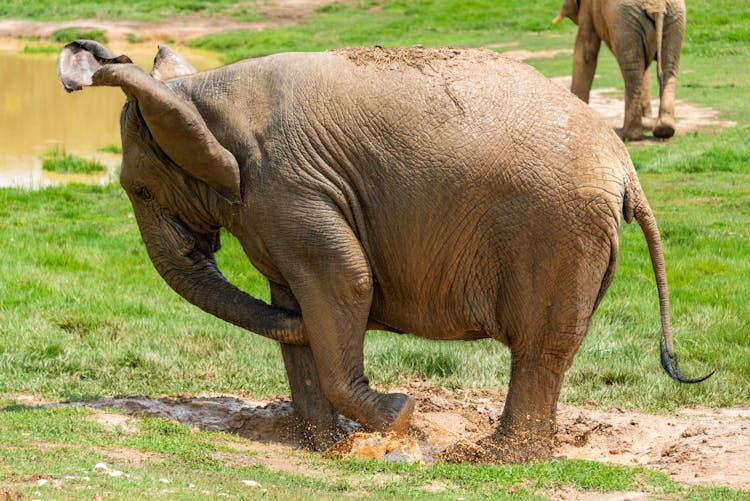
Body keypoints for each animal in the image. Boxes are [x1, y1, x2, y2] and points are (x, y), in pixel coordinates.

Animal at [55, 41, 712, 462]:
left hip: (559, 233)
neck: (200, 90)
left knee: (542, 347)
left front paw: (399, 414)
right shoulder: (282, 205)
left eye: (139, 190)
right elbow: (297, 302)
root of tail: (625, 166)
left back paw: (496, 459)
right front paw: (330, 446)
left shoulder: (287, 187)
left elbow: (345, 282)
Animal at [552, 0, 688, 141]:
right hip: (675, 20)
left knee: (632, 71)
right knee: (667, 68)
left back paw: (628, 134)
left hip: (626, 23)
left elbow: (586, 50)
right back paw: (664, 130)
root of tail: (657, 7)